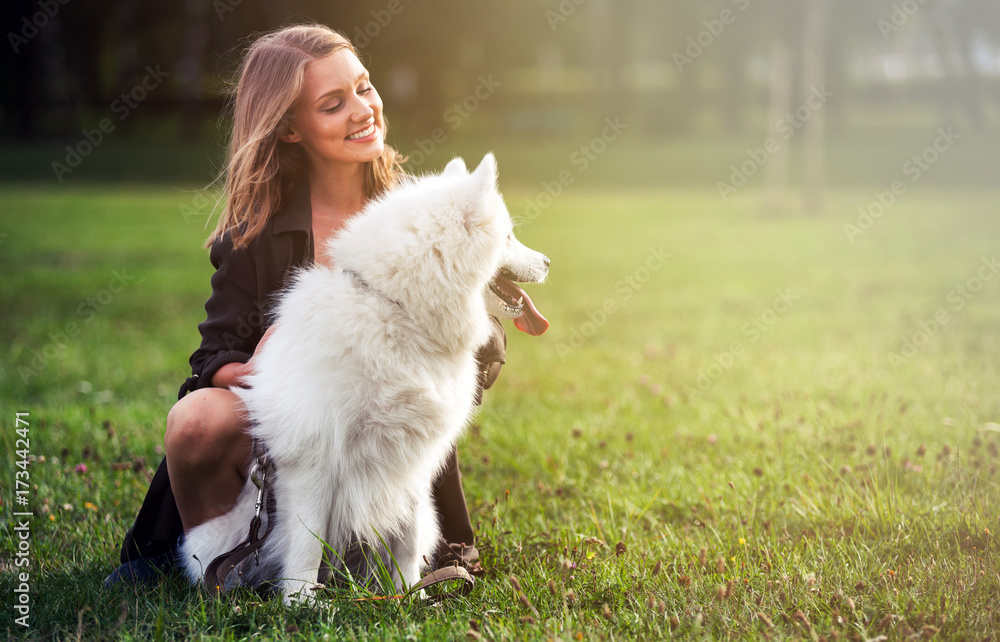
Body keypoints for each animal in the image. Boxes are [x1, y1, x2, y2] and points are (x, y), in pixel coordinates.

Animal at [182, 154, 556, 600]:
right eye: (509, 237)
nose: (549, 262)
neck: (399, 311)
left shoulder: (412, 457)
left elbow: (407, 541)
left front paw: (411, 597)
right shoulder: (313, 457)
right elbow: (306, 542)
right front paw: (301, 602)